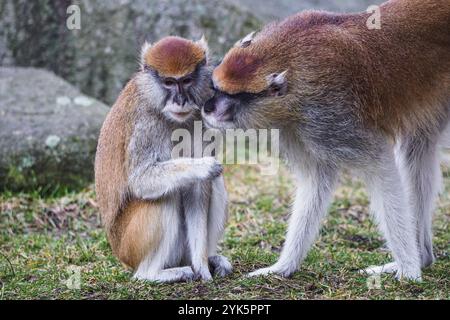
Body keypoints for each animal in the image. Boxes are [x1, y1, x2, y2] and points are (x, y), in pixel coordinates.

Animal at [97, 35, 234, 282]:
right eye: (169, 82)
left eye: (187, 80)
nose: (180, 100)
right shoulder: (145, 124)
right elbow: (141, 180)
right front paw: (202, 167)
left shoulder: (201, 119)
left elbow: (197, 190)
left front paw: (202, 265)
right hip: (130, 245)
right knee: (164, 196)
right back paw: (153, 274)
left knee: (214, 183)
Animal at [204, 0, 450, 280]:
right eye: (216, 88)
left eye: (232, 96)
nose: (208, 107)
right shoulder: (294, 127)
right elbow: (317, 178)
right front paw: (282, 267)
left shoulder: (329, 115)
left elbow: (380, 166)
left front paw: (409, 272)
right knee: (417, 147)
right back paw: (424, 257)